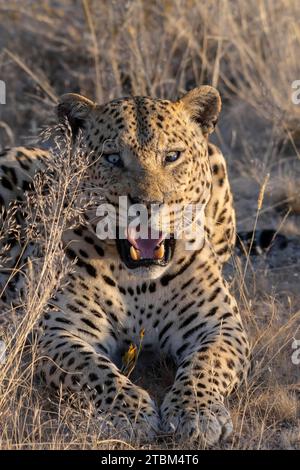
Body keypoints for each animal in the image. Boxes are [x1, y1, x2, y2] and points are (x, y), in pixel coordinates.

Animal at [0, 87, 251, 444]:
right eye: (112, 158)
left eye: (172, 156)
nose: (147, 205)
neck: (140, 281)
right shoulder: (59, 331)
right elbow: (94, 370)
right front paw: (130, 414)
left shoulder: (219, 325)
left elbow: (207, 364)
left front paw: (197, 412)